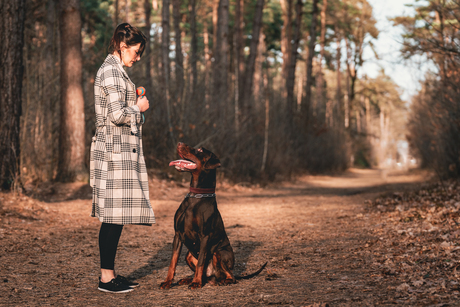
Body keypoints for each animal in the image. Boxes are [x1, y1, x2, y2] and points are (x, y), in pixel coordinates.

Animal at [161, 143, 266, 290]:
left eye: (200, 150)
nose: (179, 143)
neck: (196, 196)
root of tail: (213, 274)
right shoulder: (178, 234)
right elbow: (173, 261)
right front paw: (168, 282)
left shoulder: (204, 236)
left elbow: (200, 262)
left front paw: (196, 283)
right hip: (188, 255)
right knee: (206, 274)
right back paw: (189, 279)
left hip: (219, 252)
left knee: (231, 276)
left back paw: (220, 281)